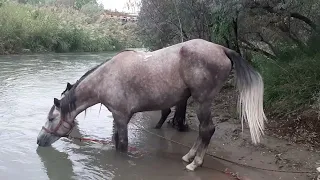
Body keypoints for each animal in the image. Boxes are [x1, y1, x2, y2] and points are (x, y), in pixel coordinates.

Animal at [37, 38, 268, 171]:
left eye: (51, 118)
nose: (39, 140)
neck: (105, 79)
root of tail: (222, 48)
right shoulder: (121, 118)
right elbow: (116, 142)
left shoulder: (121, 117)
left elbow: (122, 146)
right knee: (203, 131)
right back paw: (188, 156)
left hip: (203, 101)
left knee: (207, 130)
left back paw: (195, 163)